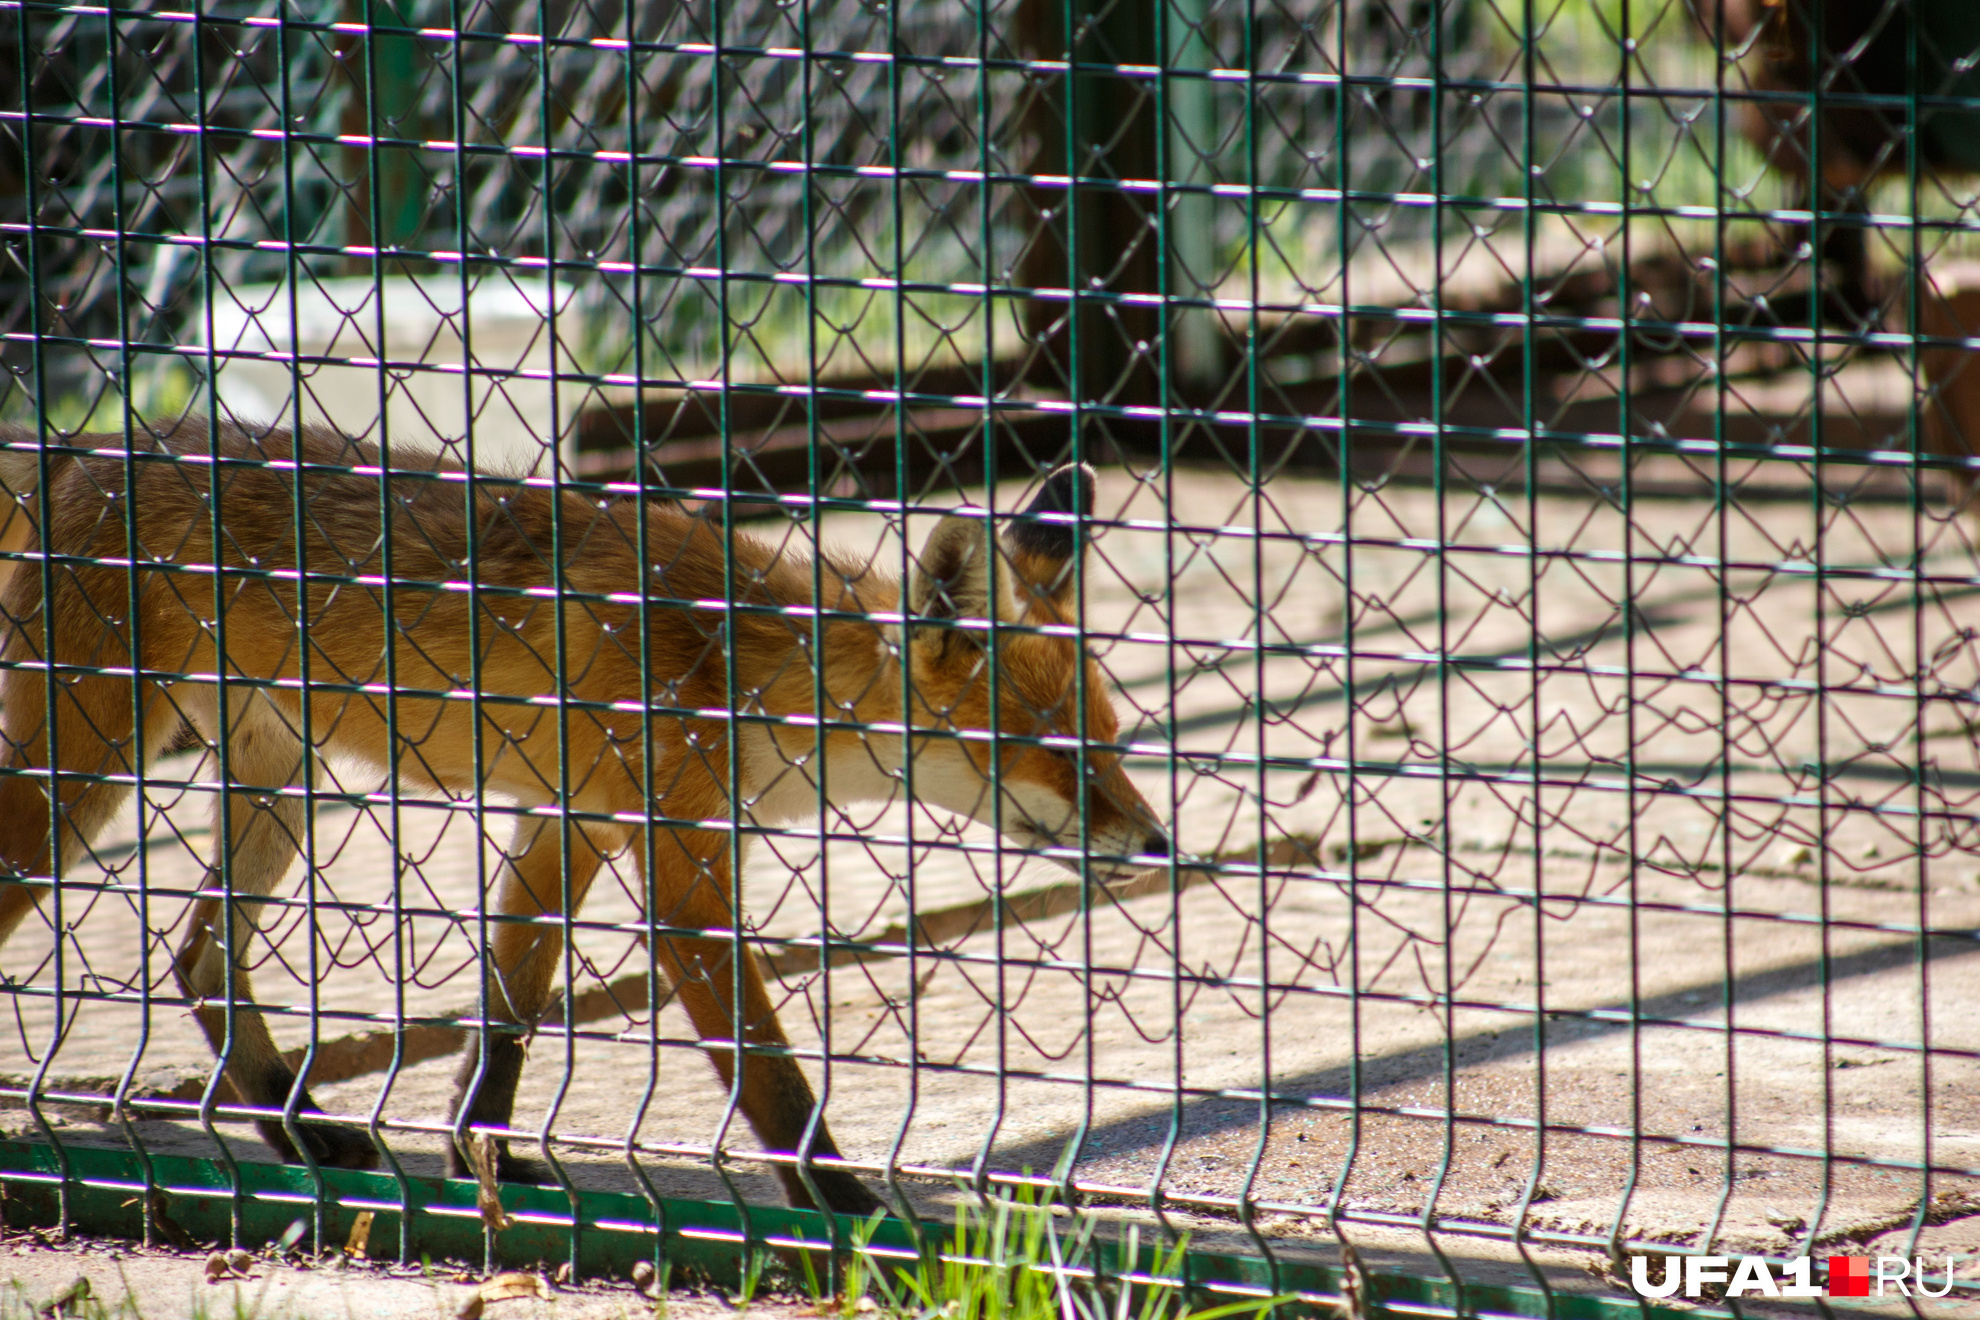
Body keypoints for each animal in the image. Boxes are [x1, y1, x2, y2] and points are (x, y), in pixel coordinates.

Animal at [0, 417, 1164, 1211]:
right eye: (1063, 754)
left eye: (1113, 738)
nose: (1160, 844)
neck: (739, 666)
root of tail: (90, 448)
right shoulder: (682, 867)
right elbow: (770, 1077)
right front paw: (846, 1213)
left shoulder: (568, 825)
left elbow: (505, 1021)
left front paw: (484, 1160)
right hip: (82, 781)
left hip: (285, 783)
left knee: (197, 954)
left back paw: (299, 1129)